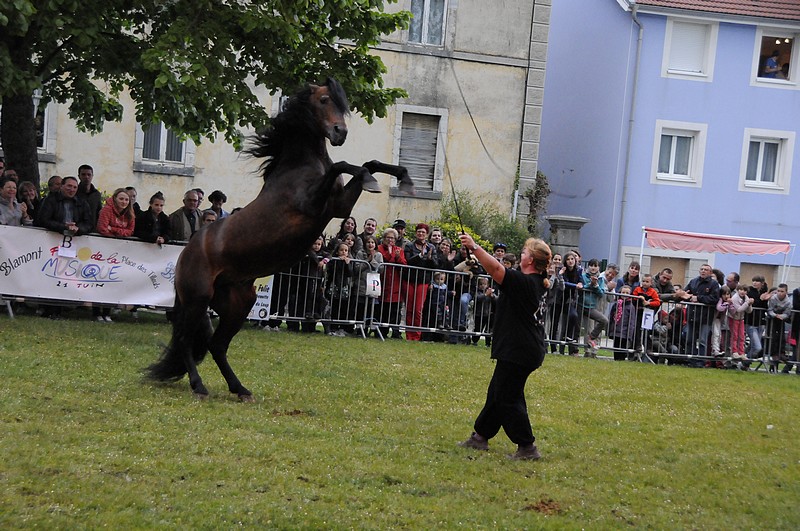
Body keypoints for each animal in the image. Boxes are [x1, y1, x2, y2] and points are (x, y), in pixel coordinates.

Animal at [144, 78, 414, 400]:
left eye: (341, 103)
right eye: (324, 100)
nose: (341, 132)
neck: (298, 166)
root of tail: (185, 253)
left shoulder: (339, 206)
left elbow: (367, 163)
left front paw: (403, 177)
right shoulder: (315, 206)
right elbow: (346, 164)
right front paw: (374, 180)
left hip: (238, 303)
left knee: (216, 345)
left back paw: (240, 389)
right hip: (198, 299)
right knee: (187, 341)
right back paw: (199, 386)